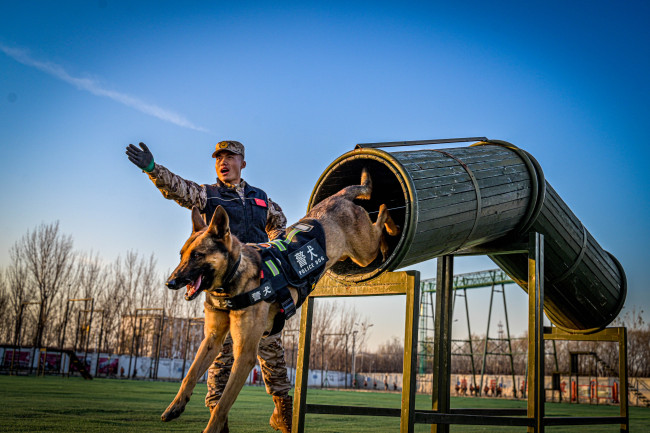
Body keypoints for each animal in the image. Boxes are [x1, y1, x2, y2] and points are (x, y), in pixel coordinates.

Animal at [161, 169, 400, 432]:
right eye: (182, 255)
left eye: (197, 256)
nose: (170, 282)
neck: (234, 275)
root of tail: (338, 197)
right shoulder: (211, 340)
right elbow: (190, 375)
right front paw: (175, 406)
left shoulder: (245, 353)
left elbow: (223, 404)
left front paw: (211, 427)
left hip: (364, 253)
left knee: (382, 210)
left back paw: (391, 234)